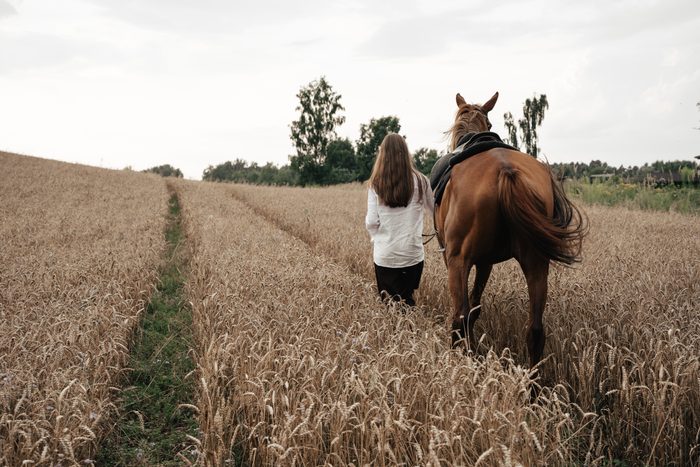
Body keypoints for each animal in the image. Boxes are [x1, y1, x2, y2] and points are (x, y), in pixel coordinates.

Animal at [434, 92, 587, 368]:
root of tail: (506, 169)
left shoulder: (457, 257)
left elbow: (468, 309)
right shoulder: (485, 261)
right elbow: (476, 306)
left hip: (459, 259)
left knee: (459, 317)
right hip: (536, 261)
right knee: (535, 330)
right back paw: (532, 379)